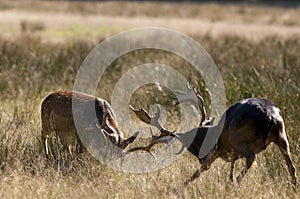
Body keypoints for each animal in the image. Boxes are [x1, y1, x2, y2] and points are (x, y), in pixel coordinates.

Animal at [127, 84, 296, 187]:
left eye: (190, 145)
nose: (199, 157)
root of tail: (270, 116)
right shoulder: (231, 154)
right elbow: (230, 169)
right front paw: (228, 182)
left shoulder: (215, 151)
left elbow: (198, 172)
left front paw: (178, 188)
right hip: (282, 136)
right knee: (292, 166)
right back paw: (294, 186)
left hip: (240, 140)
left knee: (251, 159)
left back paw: (237, 184)